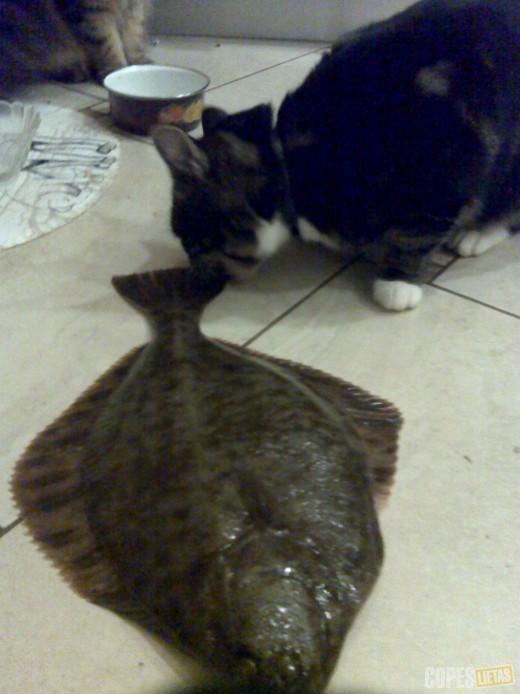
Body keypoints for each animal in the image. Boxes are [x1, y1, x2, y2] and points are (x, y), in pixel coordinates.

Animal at [0, 0, 151, 95]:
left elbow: (133, 37)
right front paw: (116, 71)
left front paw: (140, 64)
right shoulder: (92, 11)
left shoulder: (134, 7)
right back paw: (73, 70)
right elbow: (108, 45)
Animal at [152, 0, 520, 311]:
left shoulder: (446, 158)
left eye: (190, 238)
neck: (290, 166)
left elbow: (415, 231)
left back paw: (476, 234)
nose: (194, 274)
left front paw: (397, 283)